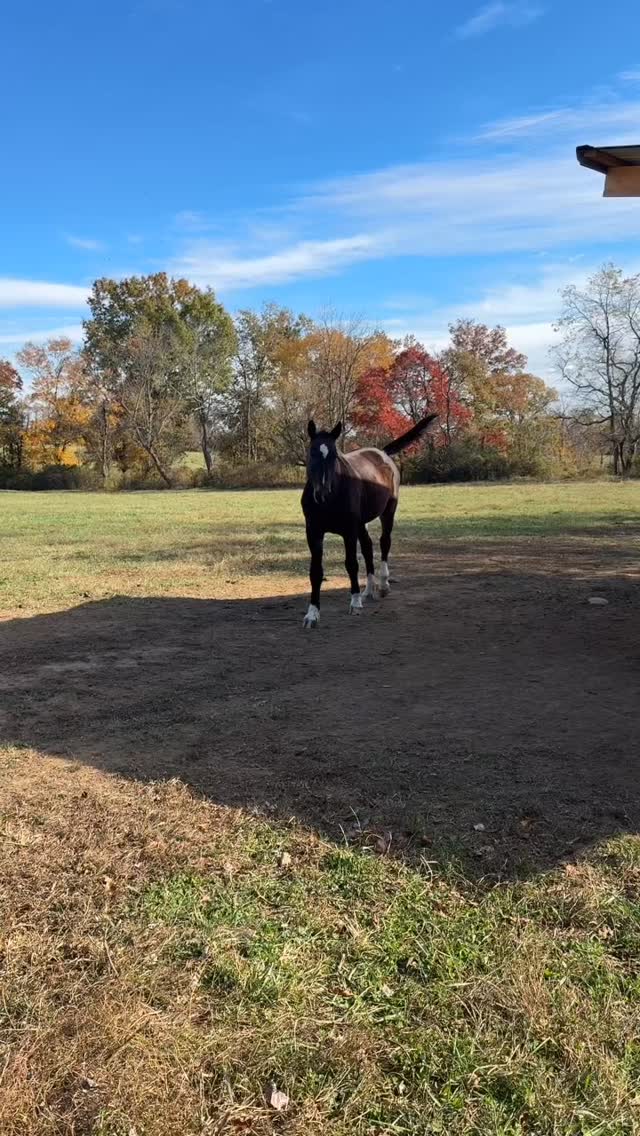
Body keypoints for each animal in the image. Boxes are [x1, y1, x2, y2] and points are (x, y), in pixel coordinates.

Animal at [301, 414, 438, 628]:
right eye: (312, 452)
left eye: (334, 456)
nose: (322, 492)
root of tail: (382, 453)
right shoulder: (313, 531)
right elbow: (316, 571)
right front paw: (312, 615)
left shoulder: (348, 531)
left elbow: (351, 564)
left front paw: (355, 603)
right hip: (361, 524)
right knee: (367, 547)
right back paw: (368, 590)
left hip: (387, 512)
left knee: (384, 543)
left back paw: (383, 585)